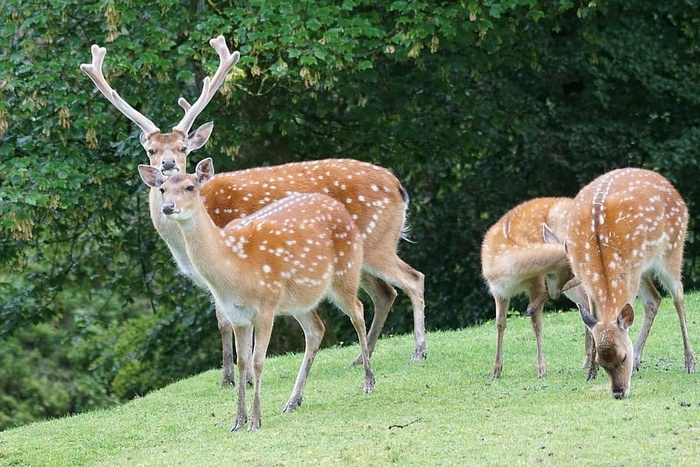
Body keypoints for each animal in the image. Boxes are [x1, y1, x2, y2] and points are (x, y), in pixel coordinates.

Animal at [80, 37, 426, 387]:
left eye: (183, 148)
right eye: (151, 150)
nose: (167, 166)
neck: (183, 244)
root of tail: (399, 187)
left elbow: (226, 322)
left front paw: (234, 379)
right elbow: (225, 321)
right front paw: (230, 377)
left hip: (376, 242)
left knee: (413, 278)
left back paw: (418, 351)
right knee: (384, 292)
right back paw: (358, 359)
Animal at [138, 158, 375, 431]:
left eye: (190, 187)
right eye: (162, 189)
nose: (168, 207)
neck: (234, 267)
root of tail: (342, 210)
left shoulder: (266, 306)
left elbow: (258, 361)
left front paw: (255, 420)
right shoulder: (238, 316)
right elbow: (242, 362)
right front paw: (238, 421)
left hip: (346, 274)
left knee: (358, 310)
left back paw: (368, 382)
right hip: (300, 300)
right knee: (317, 330)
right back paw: (293, 401)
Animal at [482, 197, 589, 379]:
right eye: (566, 272)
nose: (556, 294)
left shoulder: (536, 281)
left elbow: (536, 324)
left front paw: (541, 368)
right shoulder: (498, 290)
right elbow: (500, 324)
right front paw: (496, 369)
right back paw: (587, 362)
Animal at [562, 167, 695, 399]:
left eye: (623, 356)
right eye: (602, 362)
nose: (618, 392)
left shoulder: (630, 271)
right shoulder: (585, 278)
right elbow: (593, 321)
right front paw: (590, 373)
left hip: (673, 246)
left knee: (678, 296)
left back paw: (689, 362)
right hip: (643, 267)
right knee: (654, 299)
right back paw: (640, 361)